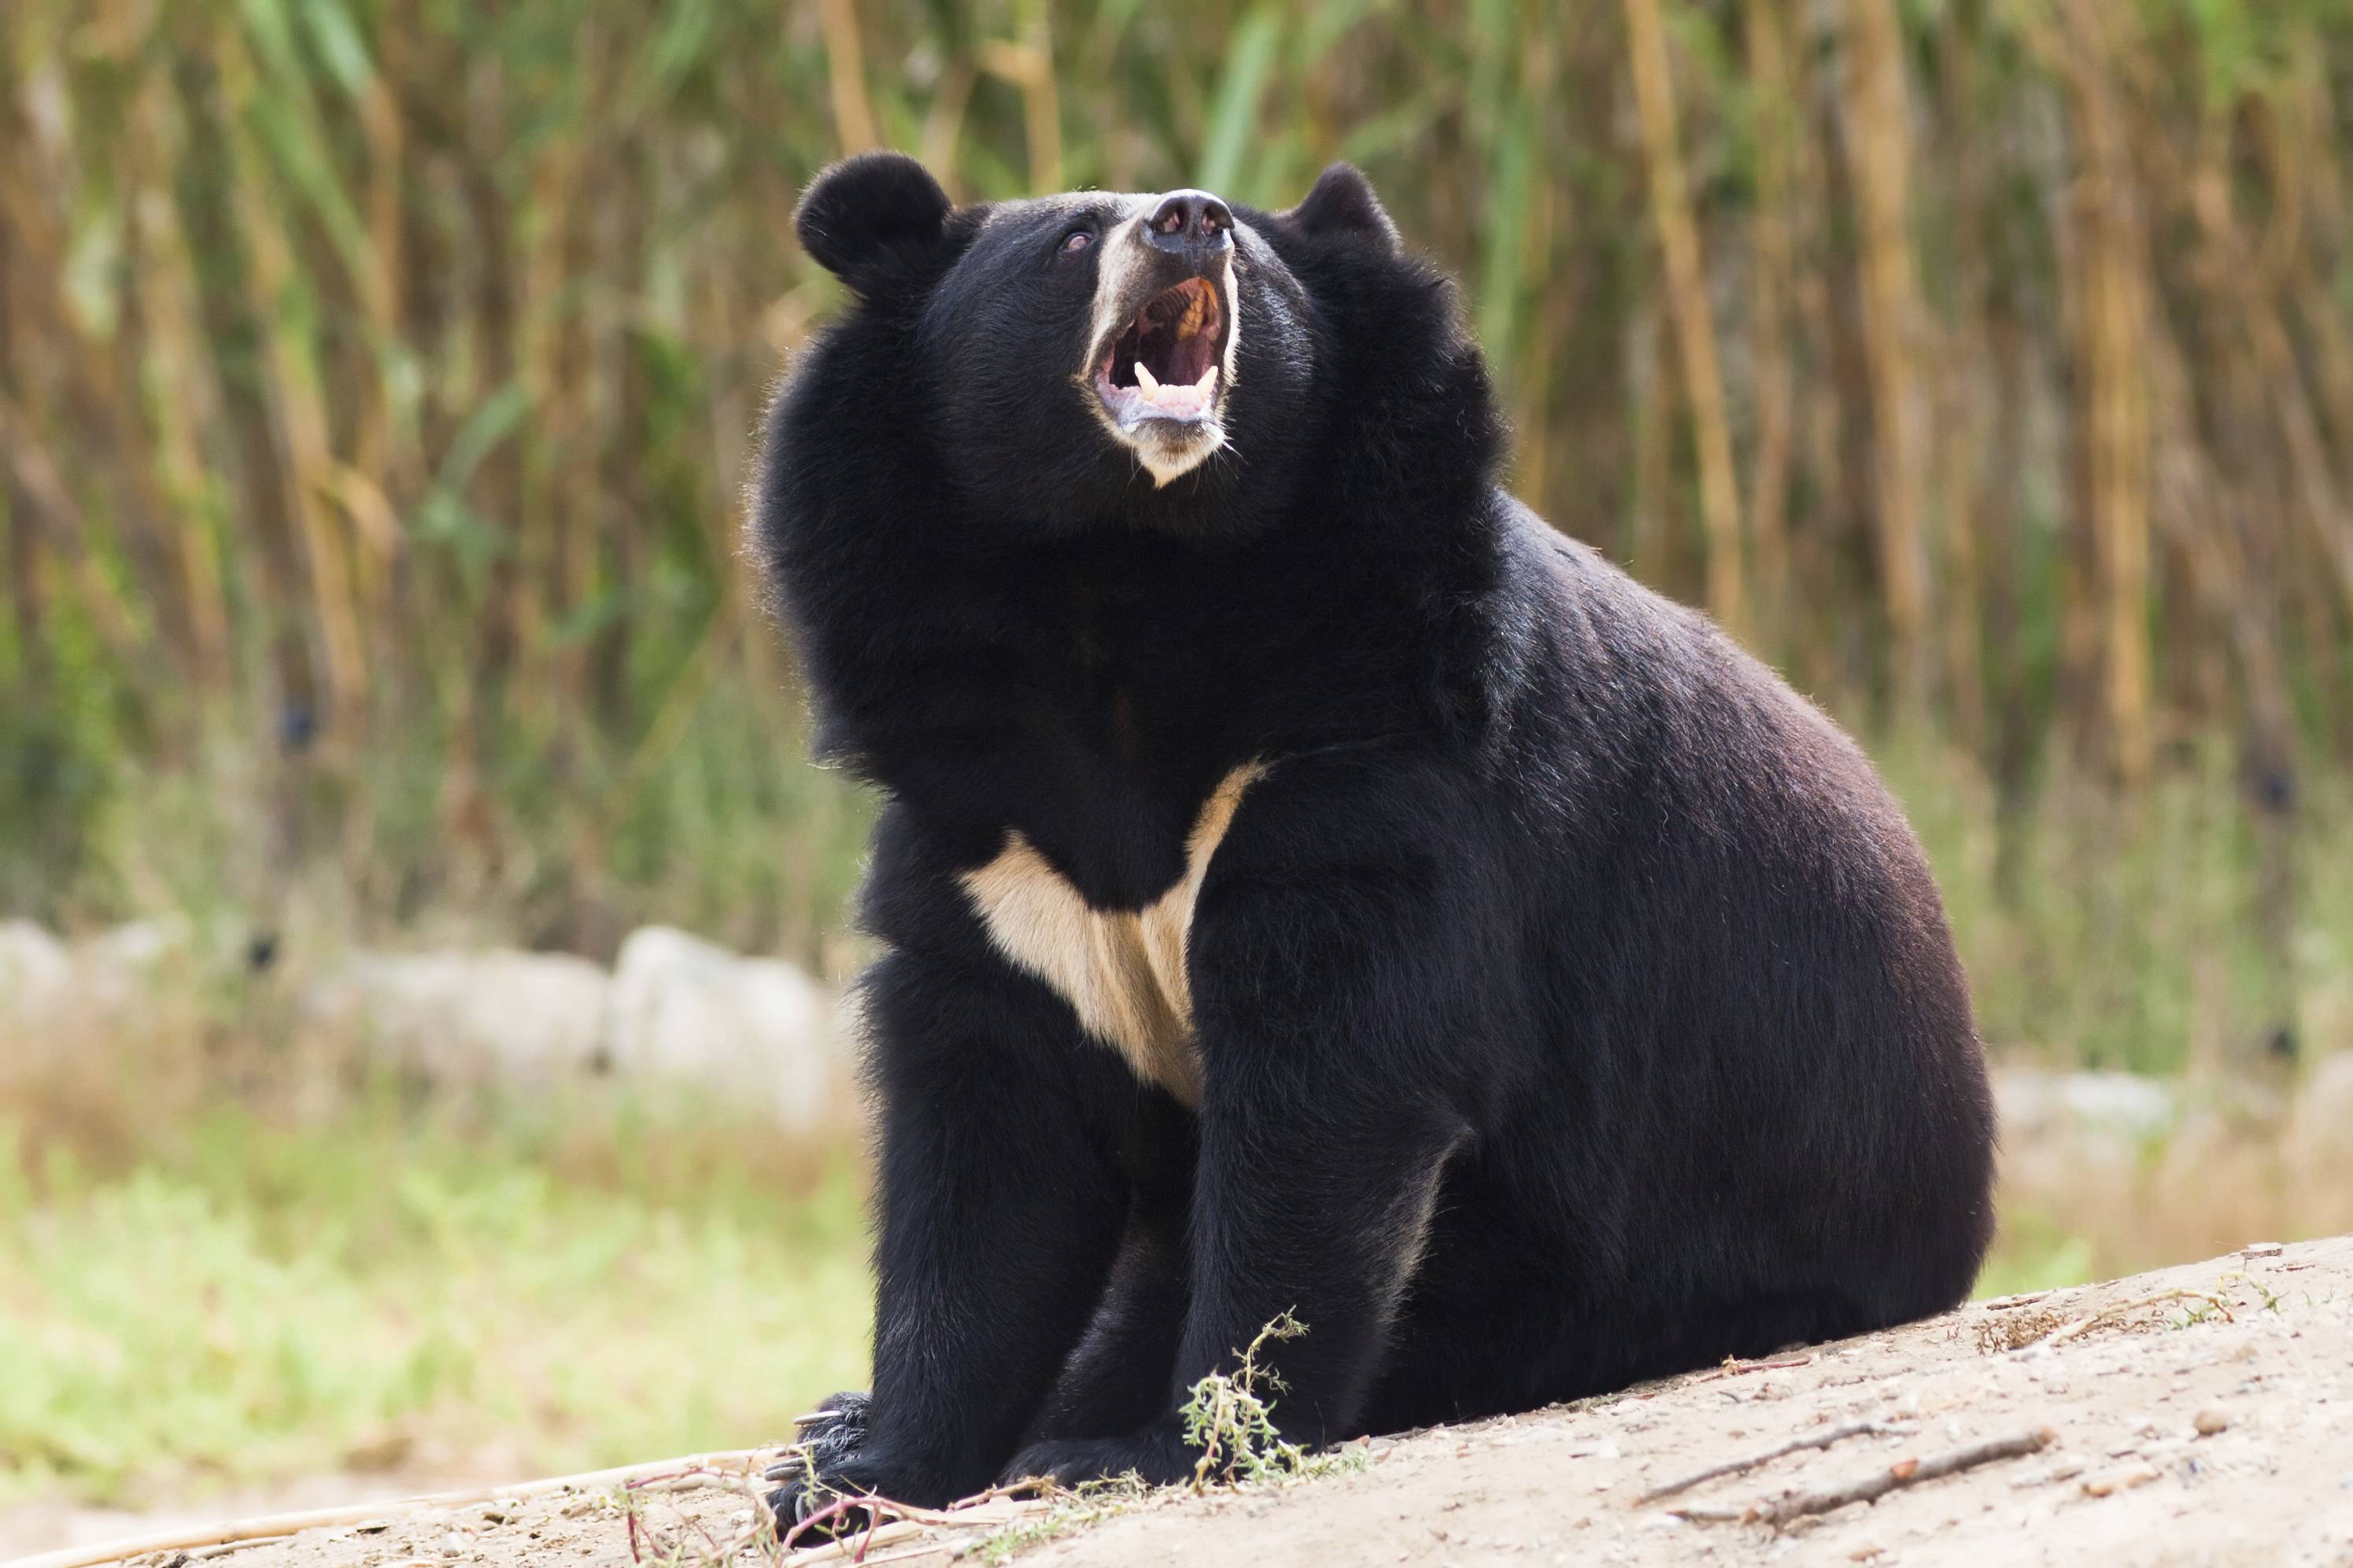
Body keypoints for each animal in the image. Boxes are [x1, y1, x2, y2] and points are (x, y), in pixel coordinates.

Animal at [752, 152, 1996, 1522]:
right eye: (1074, 239)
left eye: (1245, 244)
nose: (1189, 221)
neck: (1125, 578)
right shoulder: (987, 844)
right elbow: (989, 1151)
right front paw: (857, 1474)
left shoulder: (1373, 762)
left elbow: (1328, 1101)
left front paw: (1147, 1448)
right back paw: (830, 1418)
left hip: (1666, 1228)